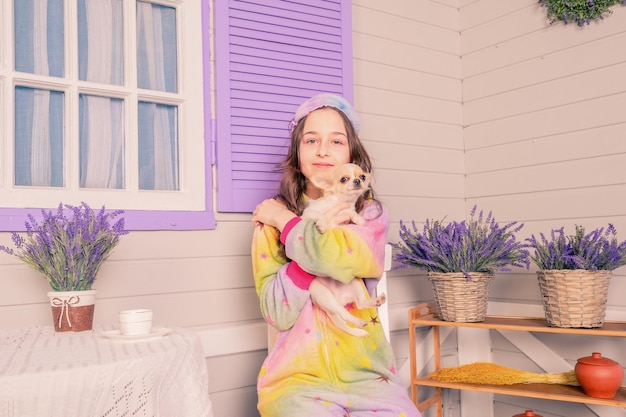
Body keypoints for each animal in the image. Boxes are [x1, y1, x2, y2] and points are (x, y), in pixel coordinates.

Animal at [302, 163, 386, 338]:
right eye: (343, 179)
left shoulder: (345, 215)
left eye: (362, 176)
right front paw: (322, 224)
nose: (357, 181)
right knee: (343, 313)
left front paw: (358, 219)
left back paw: (373, 305)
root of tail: (339, 299)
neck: (339, 201)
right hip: (325, 296)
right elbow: (320, 215)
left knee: (359, 305)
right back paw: (359, 322)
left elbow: (349, 212)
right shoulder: (309, 213)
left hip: (354, 285)